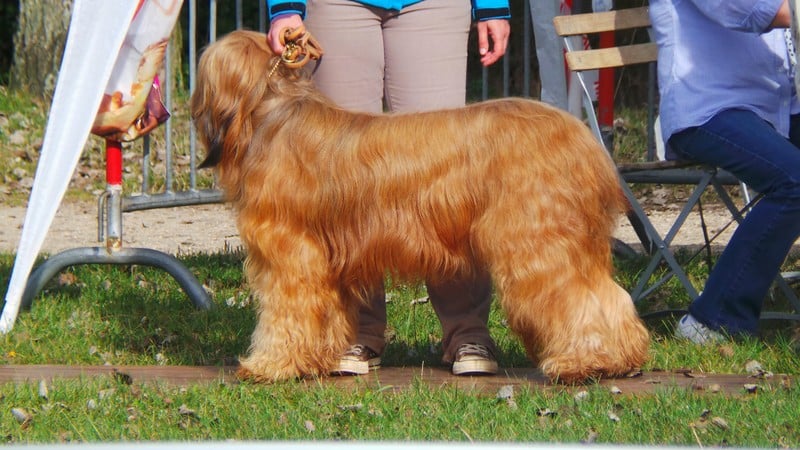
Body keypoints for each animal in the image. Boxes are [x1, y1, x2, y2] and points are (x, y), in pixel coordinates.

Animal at [192, 29, 648, 384]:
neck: (272, 112)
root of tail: (581, 137)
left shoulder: (291, 255)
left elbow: (286, 312)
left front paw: (270, 365)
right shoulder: (328, 259)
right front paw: (320, 359)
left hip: (537, 240)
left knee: (576, 295)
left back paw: (584, 362)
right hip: (570, 239)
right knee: (607, 293)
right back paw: (620, 358)